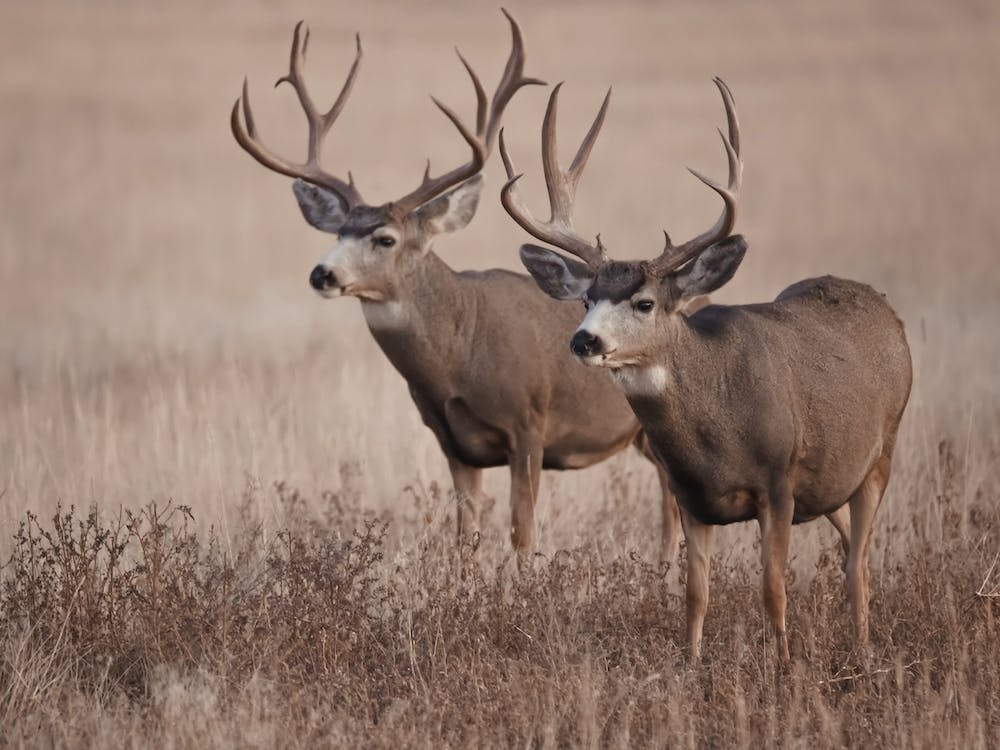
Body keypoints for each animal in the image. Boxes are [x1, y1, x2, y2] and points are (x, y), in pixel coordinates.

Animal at [230, 11, 687, 566]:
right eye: (338, 232)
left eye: (385, 238)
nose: (323, 274)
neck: (458, 353)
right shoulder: (453, 443)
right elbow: (464, 540)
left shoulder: (529, 426)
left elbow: (521, 535)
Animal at [499, 78, 912, 660]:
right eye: (586, 300)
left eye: (644, 302)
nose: (584, 340)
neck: (716, 430)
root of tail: (887, 312)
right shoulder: (690, 496)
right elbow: (695, 594)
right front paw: (690, 665)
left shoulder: (778, 483)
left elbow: (772, 588)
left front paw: (784, 665)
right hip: (834, 476)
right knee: (852, 548)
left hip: (882, 451)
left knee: (859, 565)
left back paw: (863, 651)